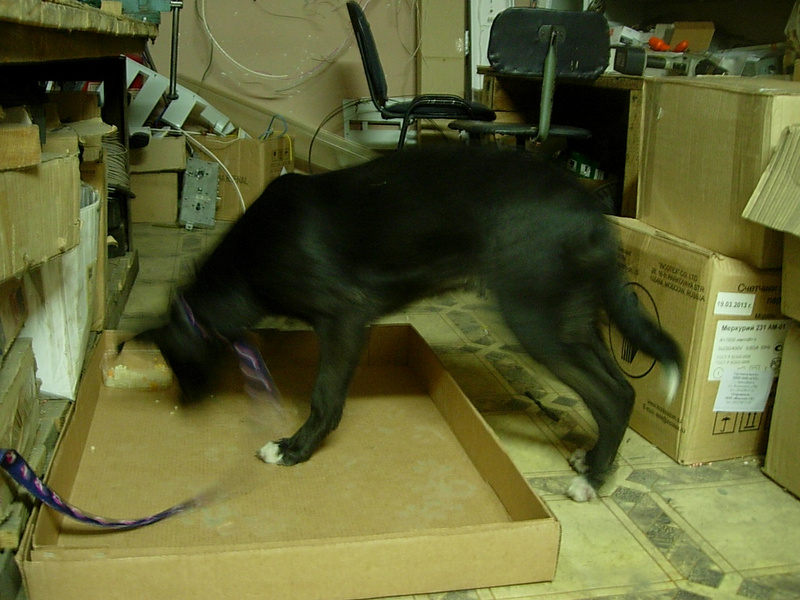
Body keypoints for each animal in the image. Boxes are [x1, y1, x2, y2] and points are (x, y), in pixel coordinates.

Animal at [136, 146, 682, 502]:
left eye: (173, 361)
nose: (186, 403)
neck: (245, 261)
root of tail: (591, 209)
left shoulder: (344, 316)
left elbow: (325, 396)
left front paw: (295, 449)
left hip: (538, 320)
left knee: (610, 395)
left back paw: (592, 481)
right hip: (572, 316)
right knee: (622, 390)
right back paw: (594, 461)